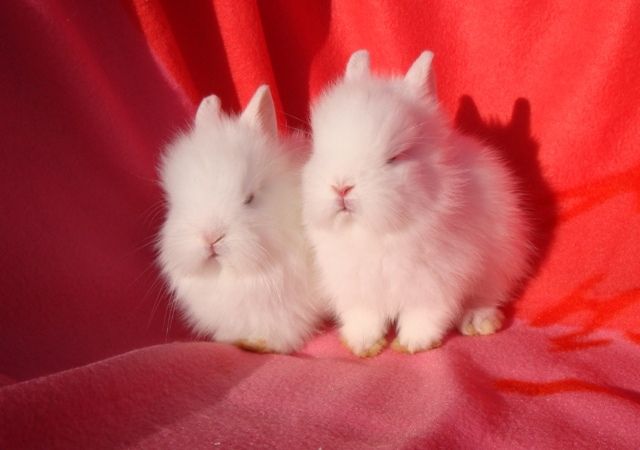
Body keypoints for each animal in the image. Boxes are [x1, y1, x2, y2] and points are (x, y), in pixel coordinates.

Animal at [302, 50, 531, 357]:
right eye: (319, 149)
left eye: (395, 157)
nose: (341, 186)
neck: (373, 233)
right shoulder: (357, 285)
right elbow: (364, 315)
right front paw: (363, 343)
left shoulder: (434, 279)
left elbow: (424, 312)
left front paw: (414, 343)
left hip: (500, 262)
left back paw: (477, 321)